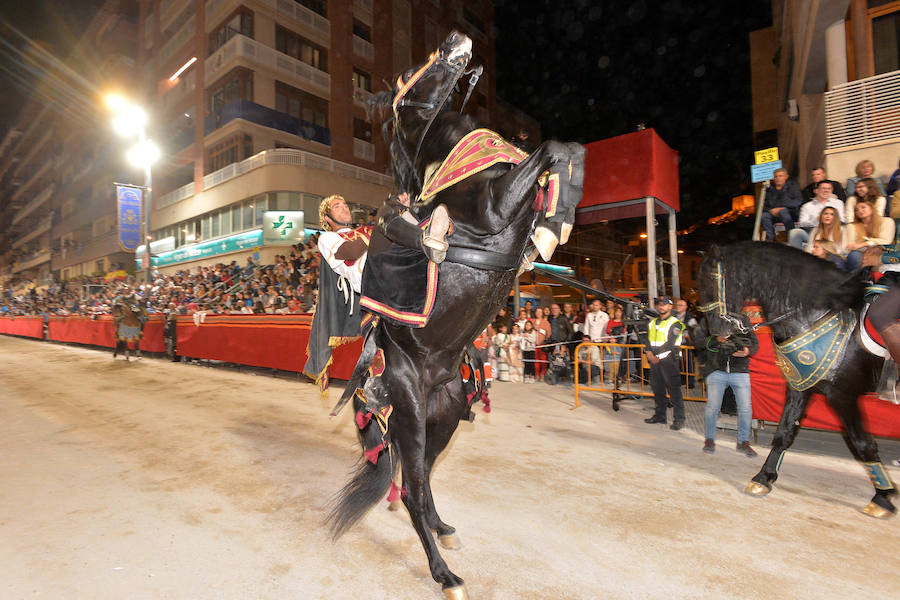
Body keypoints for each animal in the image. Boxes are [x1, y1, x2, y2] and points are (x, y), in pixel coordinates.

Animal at [326, 30, 588, 596]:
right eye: (409, 73)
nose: (455, 39)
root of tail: (375, 383)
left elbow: (568, 151)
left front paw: (556, 218)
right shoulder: (493, 206)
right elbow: (552, 148)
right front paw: (553, 217)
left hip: (443, 416)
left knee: (419, 481)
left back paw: (444, 529)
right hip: (412, 413)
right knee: (411, 490)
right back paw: (445, 575)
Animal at [700, 241, 896, 516]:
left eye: (710, 279)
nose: (716, 332)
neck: (816, 313)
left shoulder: (843, 396)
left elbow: (862, 443)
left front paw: (882, 497)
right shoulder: (800, 387)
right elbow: (784, 433)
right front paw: (763, 478)